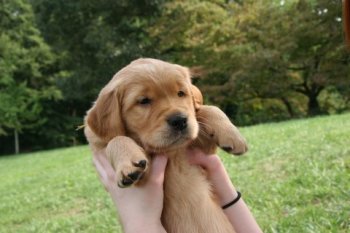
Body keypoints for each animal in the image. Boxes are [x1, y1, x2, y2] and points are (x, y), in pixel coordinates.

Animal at [84, 58, 249, 233]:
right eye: (144, 101)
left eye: (181, 93)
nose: (180, 120)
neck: (171, 152)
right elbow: (115, 140)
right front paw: (128, 164)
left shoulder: (202, 149)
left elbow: (207, 109)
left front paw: (233, 135)